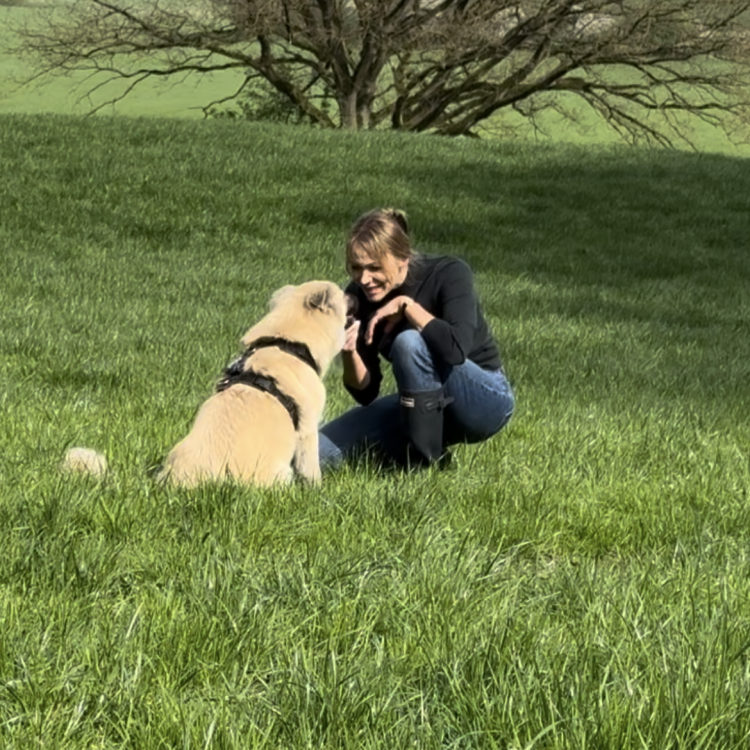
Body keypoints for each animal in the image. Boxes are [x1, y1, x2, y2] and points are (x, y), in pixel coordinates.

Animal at [64, 280, 350, 488]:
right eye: (343, 297)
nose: (353, 295)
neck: (284, 342)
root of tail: (171, 483)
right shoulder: (307, 432)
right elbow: (311, 471)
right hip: (278, 475)